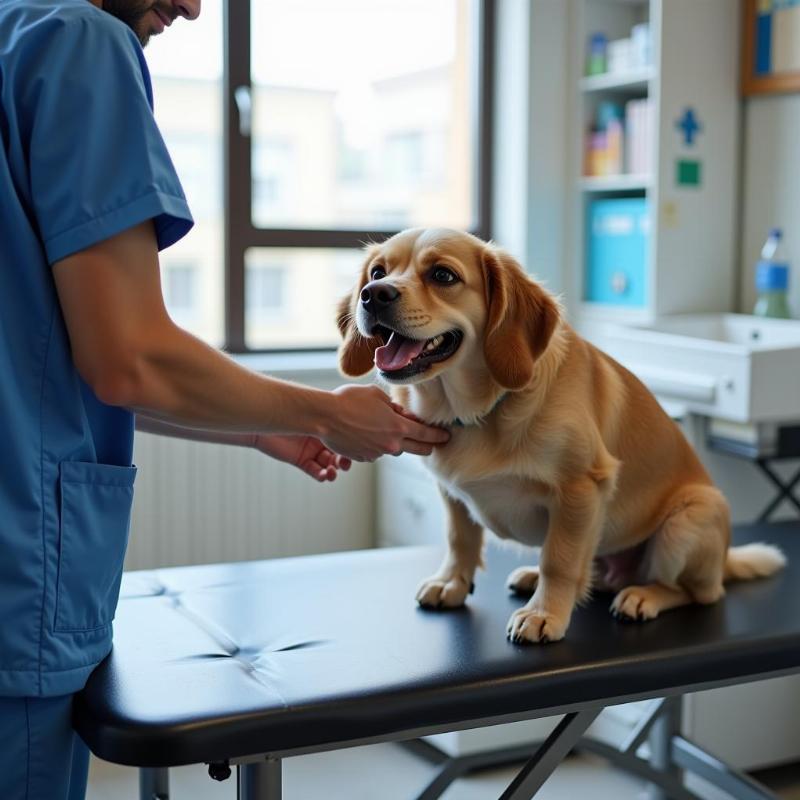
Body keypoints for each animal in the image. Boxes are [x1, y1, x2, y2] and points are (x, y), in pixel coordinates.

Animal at [334, 227, 784, 644]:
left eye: (443, 275)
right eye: (377, 272)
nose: (373, 296)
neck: (479, 410)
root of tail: (723, 560)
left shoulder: (580, 489)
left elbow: (561, 560)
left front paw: (544, 614)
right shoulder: (451, 493)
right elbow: (460, 540)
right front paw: (452, 583)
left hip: (689, 520)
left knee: (697, 592)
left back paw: (644, 595)